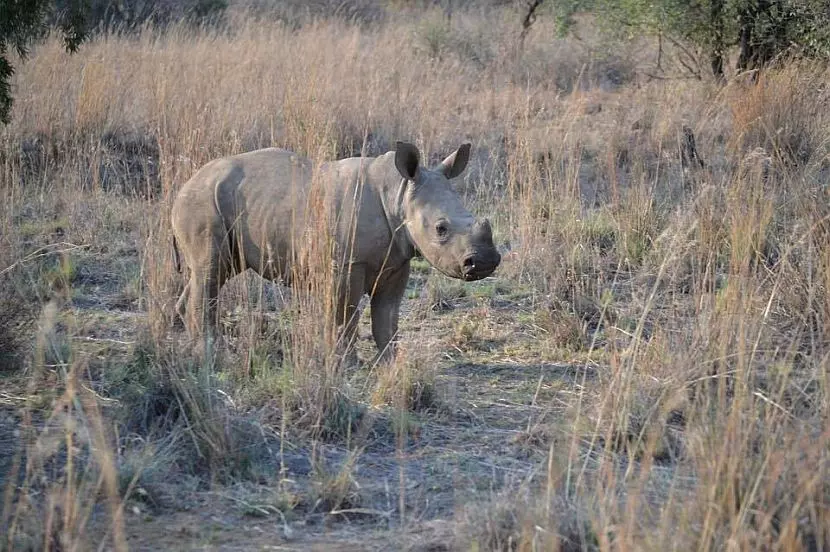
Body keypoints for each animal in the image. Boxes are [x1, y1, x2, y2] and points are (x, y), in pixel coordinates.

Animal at [171, 141, 500, 360]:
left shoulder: (398, 260)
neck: (398, 194)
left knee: (213, 272)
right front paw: (346, 362)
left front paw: (391, 362)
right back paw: (208, 353)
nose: (484, 262)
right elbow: (346, 315)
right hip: (202, 202)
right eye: (441, 229)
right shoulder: (347, 263)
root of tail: (185, 183)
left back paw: (189, 343)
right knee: (210, 270)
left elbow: (387, 318)